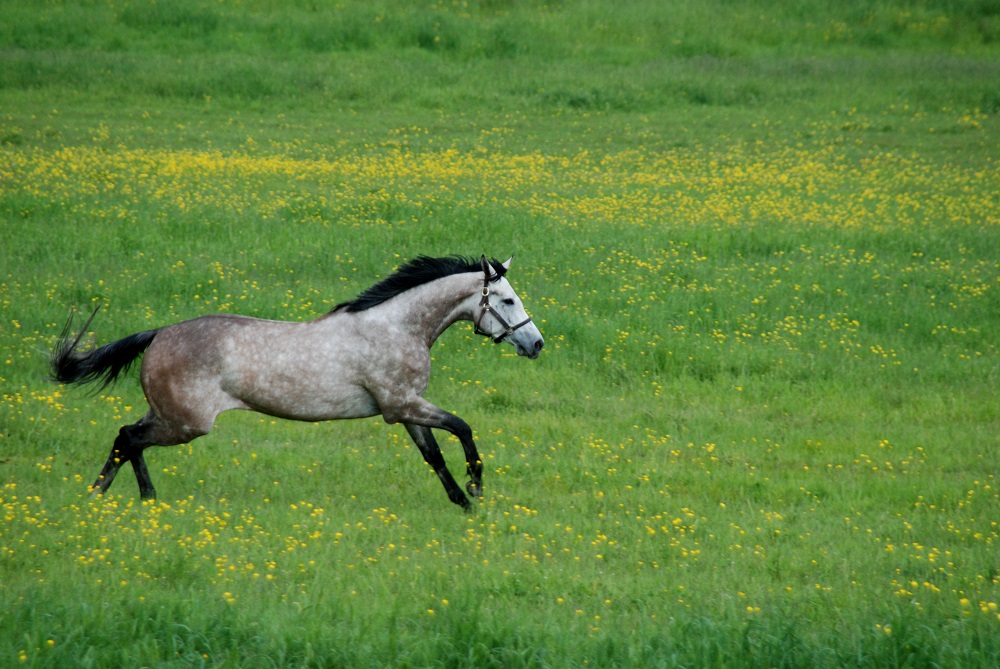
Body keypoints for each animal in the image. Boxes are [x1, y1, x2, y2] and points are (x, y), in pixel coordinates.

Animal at [51, 255, 544, 510]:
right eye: (506, 300)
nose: (536, 344)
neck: (396, 327)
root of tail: (159, 334)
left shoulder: (407, 408)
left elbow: (434, 455)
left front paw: (463, 503)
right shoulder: (401, 405)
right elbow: (462, 427)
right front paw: (476, 486)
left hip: (168, 414)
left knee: (126, 438)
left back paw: (122, 497)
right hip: (185, 423)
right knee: (128, 437)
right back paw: (123, 496)